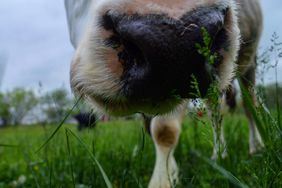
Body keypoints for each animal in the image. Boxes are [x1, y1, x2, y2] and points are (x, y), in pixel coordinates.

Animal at [65, 0, 264, 187]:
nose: (175, 41)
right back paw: (220, 154)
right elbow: (149, 128)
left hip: (249, 62)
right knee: (215, 112)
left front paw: (162, 181)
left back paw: (256, 146)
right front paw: (171, 170)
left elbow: (164, 130)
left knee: (249, 105)